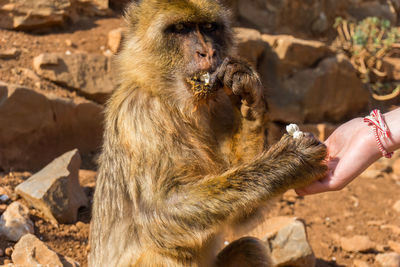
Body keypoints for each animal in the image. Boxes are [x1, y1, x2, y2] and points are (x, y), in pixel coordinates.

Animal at [88, 0, 328, 267]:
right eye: (180, 28)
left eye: (209, 28)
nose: (208, 52)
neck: (175, 102)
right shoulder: (141, 116)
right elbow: (160, 211)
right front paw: (290, 161)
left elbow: (245, 213)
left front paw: (248, 97)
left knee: (250, 247)